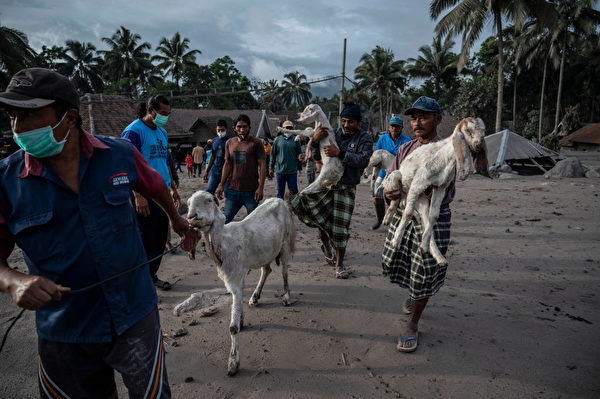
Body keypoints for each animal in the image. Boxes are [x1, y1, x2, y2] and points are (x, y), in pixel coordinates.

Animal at [183, 192, 296, 376]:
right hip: (265, 250)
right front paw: (242, 318)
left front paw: (233, 363)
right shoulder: (236, 277)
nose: (192, 217)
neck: (223, 242)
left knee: (285, 270)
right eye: (188, 203)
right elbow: (240, 298)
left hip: (285, 242)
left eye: (208, 200)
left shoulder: (235, 277)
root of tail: (280, 200)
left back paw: (286, 297)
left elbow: (232, 328)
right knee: (267, 270)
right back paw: (255, 297)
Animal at [384, 117, 488, 268]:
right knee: (398, 201)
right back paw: (388, 217)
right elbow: (407, 213)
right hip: (395, 180)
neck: (446, 157)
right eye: (468, 131)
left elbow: (433, 217)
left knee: (422, 215)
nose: (479, 145)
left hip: (421, 198)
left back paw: (435, 254)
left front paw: (425, 246)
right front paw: (396, 241)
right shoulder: (418, 183)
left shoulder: (440, 187)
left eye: (484, 131)